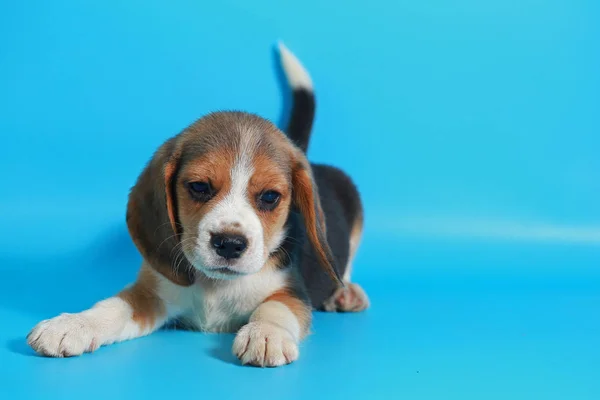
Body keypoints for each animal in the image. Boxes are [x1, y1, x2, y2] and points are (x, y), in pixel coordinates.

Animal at [27, 43, 370, 366]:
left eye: (270, 197)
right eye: (199, 187)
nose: (229, 243)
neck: (216, 286)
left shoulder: (292, 291)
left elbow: (276, 307)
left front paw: (266, 334)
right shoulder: (151, 294)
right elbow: (113, 306)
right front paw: (72, 324)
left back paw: (346, 293)